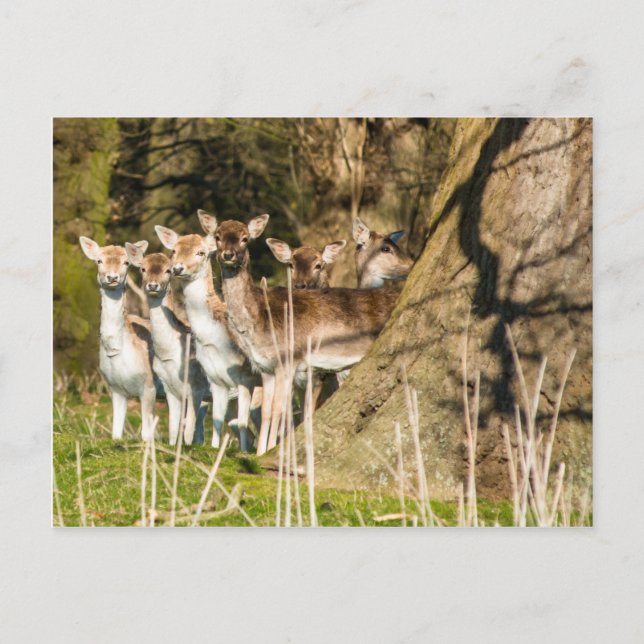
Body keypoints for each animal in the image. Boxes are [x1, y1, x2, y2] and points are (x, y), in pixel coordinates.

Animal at [79, 236, 158, 441]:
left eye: (126, 262)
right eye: (99, 260)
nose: (112, 277)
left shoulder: (149, 385)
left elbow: (147, 434)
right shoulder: (115, 387)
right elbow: (116, 433)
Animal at [124, 245, 210, 446]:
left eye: (168, 270)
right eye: (143, 268)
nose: (153, 285)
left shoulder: (197, 385)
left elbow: (188, 430)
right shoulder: (170, 388)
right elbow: (173, 428)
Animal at [154, 224, 261, 452]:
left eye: (201, 252)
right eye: (174, 250)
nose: (177, 268)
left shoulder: (245, 378)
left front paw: (243, 454)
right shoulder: (215, 380)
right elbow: (216, 422)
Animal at [199, 211, 400, 455]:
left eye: (245, 238)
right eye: (217, 236)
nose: (228, 255)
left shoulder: (289, 359)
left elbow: (280, 410)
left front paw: (272, 450)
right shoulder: (266, 368)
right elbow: (266, 412)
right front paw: (260, 453)